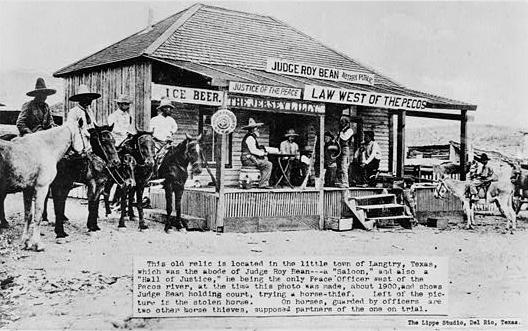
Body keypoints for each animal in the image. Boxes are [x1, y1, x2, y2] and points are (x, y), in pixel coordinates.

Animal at [0, 122, 83, 252]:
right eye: (87, 135)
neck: (46, 148)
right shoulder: (42, 188)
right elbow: (38, 215)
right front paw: (37, 244)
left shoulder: (28, 189)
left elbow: (28, 215)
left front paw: (26, 242)